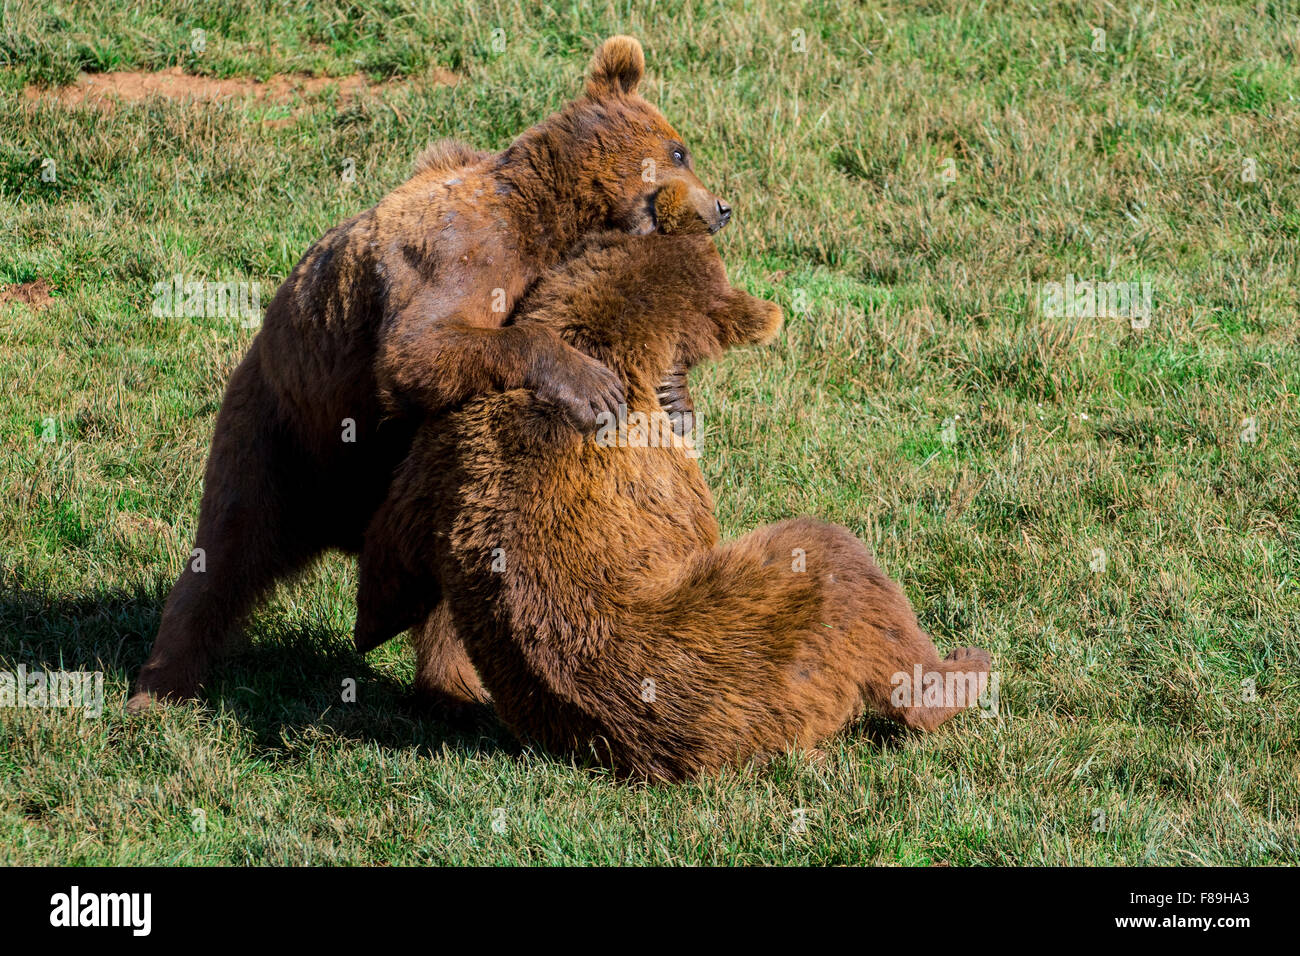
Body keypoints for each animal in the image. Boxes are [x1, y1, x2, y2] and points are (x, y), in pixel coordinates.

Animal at [128, 35, 733, 712]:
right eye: (679, 149)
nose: (723, 206)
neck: (550, 221)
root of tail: (339, 527)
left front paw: (676, 399)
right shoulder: (464, 253)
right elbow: (420, 348)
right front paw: (593, 385)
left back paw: (455, 690)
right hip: (279, 428)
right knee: (228, 545)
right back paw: (159, 684)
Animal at [353, 183, 982, 780]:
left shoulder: (445, 442)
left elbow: (392, 558)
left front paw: (374, 624)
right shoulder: (659, 470)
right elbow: (693, 519)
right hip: (769, 635)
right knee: (847, 571)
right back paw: (962, 672)